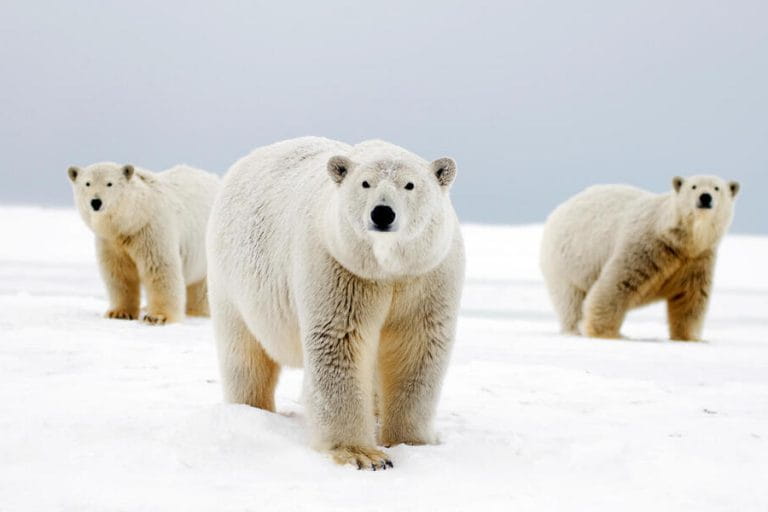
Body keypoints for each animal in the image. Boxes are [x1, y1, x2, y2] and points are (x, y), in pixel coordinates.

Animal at [67, 162, 220, 324]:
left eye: (109, 183)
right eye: (87, 183)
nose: (96, 202)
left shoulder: (151, 230)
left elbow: (160, 268)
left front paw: (158, 316)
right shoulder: (111, 242)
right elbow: (119, 273)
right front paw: (119, 313)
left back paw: (196, 311)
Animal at [207, 137, 464, 472]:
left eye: (409, 184)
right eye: (365, 183)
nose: (382, 213)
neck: (386, 269)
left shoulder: (427, 275)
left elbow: (417, 347)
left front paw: (412, 442)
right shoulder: (339, 266)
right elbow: (340, 342)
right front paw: (364, 455)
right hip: (231, 281)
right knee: (244, 352)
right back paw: (251, 410)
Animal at [536, 175, 740, 340]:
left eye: (717, 188)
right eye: (694, 186)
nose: (705, 197)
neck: (678, 240)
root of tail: (558, 210)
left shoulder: (697, 259)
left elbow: (691, 297)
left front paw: (690, 337)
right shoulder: (644, 246)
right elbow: (616, 285)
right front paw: (606, 333)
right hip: (566, 260)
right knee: (570, 299)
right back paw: (574, 329)